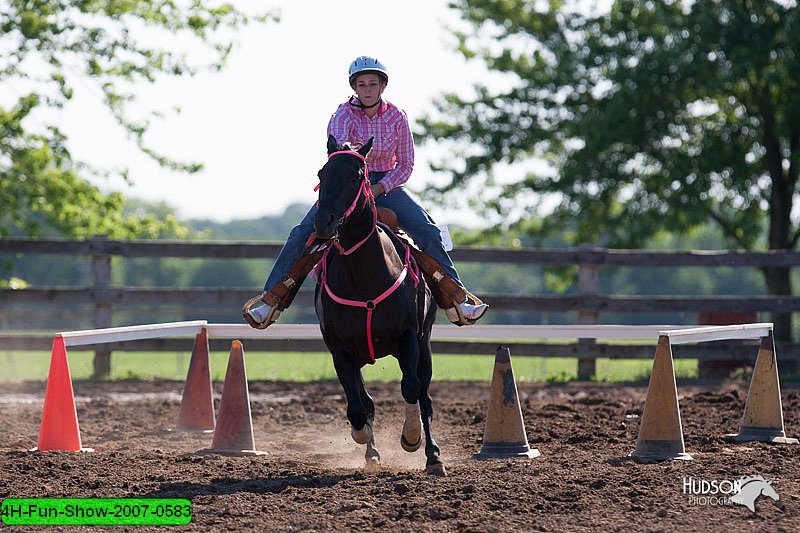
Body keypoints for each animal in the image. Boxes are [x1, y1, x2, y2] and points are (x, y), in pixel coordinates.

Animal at [312, 133, 444, 474]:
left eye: (356, 176)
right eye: (322, 174)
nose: (323, 222)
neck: (365, 278)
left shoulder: (408, 338)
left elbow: (410, 389)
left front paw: (410, 438)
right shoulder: (341, 351)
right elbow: (359, 407)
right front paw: (365, 441)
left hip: (425, 343)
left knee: (424, 396)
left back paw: (433, 456)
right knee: (364, 399)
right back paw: (371, 451)